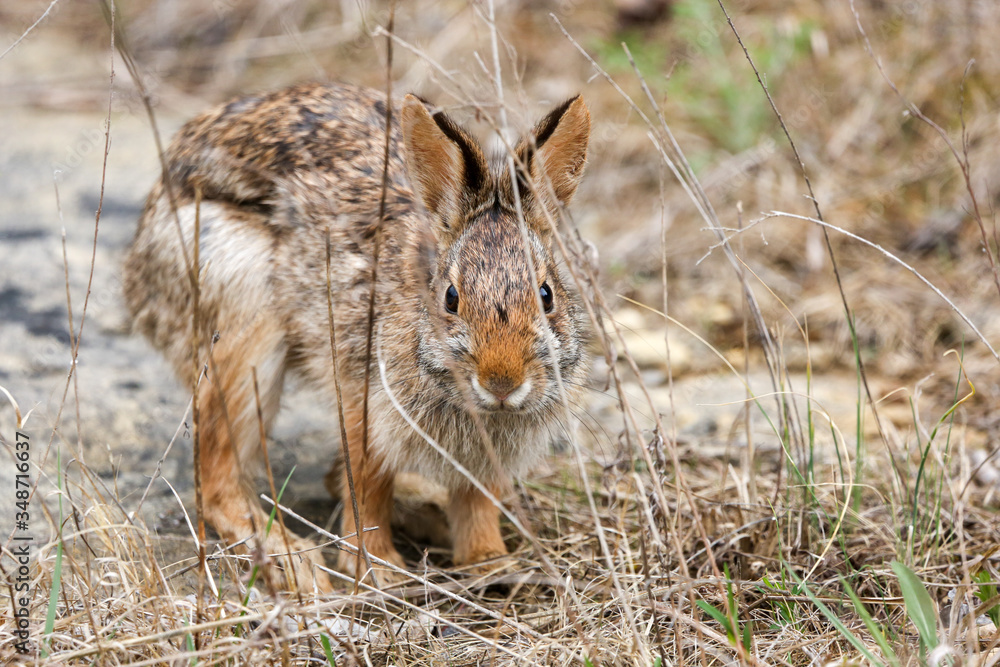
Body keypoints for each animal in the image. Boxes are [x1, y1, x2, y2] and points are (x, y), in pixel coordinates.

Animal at [123, 81, 591, 592]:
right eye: (450, 298)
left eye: (547, 295)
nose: (502, 383)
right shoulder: (363, 402)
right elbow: (365, 486)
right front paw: (377, 570)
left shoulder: (485, 460)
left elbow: (476, 502)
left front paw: (490, 561)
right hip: (242, 325)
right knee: (217, 481)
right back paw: (295, 561)